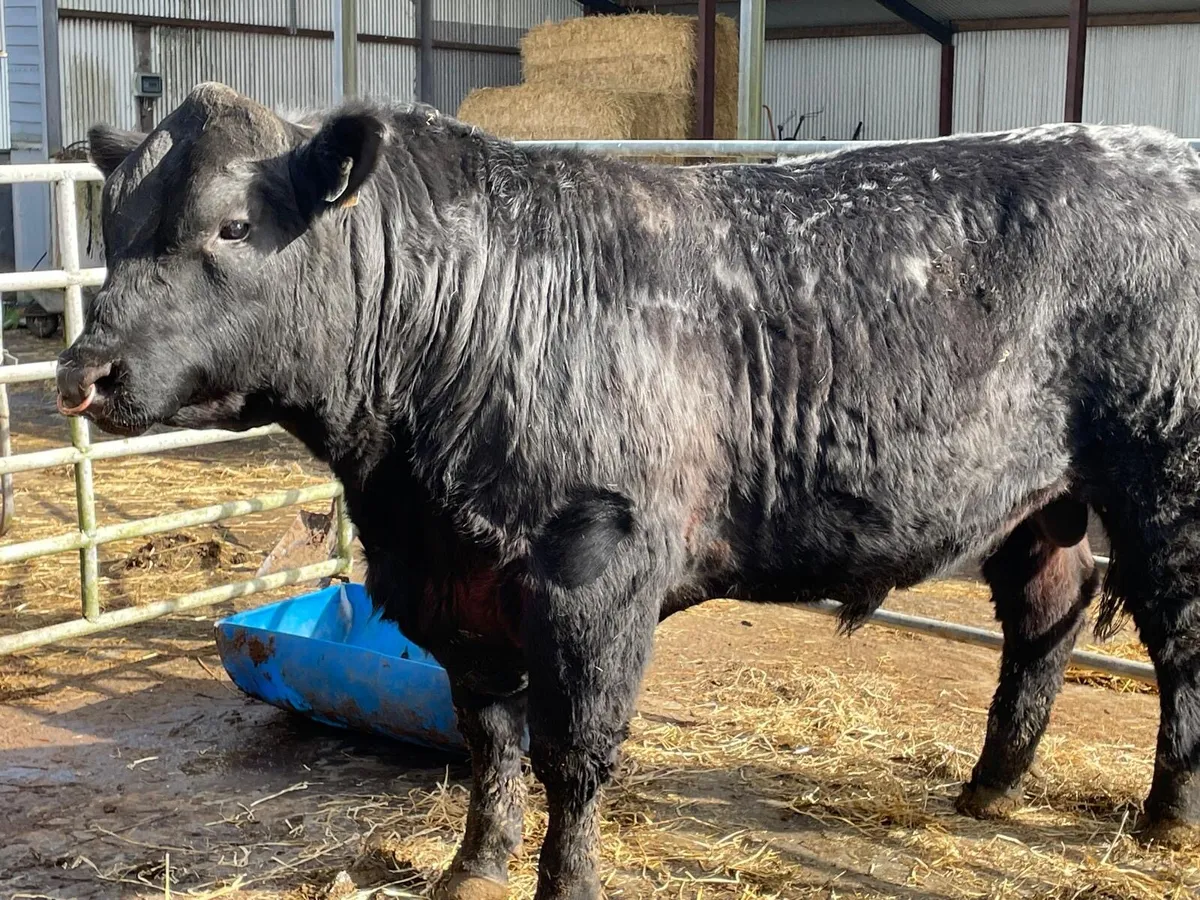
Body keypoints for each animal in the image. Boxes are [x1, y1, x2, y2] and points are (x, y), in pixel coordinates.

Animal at [57, 82, 1200, 899]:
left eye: (233, 226)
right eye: (114, 227)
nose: (84, 372)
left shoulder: (594, 574)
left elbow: (574, 752)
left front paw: (566, 884)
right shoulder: (457, 588)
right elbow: (490, 738)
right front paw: (472, 868)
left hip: (1168, 483)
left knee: (1178, 645)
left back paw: (1166, 816)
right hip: (1040, 501)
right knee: (1047, 621)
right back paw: (988, 790)